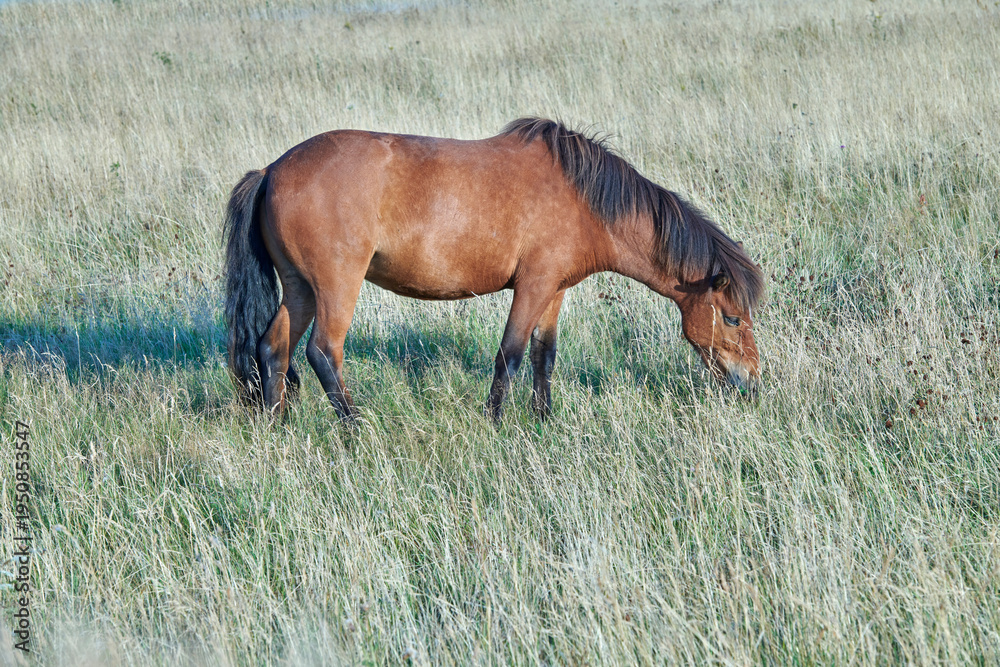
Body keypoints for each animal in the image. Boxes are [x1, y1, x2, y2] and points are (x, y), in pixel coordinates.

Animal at [223, 118, 764, 423]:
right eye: (732, 318)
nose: (751, 383)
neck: (583, 198)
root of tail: (271, 171)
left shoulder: (555, 290)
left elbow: (545, 356)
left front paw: (544, 420)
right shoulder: (532, 287)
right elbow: (511, 355)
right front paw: (497, 422)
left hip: (301, 289)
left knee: (273, 348)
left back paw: (277, 426)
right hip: (337, 288)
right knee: (322, 353)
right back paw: (354, 430)